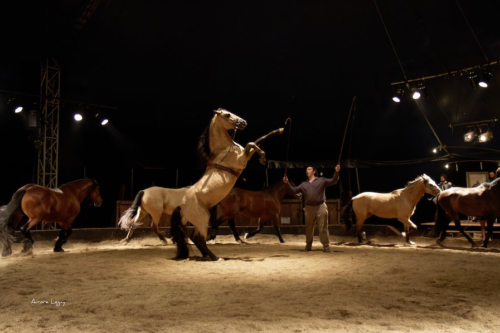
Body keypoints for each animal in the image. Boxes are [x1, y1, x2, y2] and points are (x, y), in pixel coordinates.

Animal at [170, 108, 284, 260]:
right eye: (227, 114)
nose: (243, 122)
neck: (224, 150)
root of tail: (180, 205)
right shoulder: (242, 159)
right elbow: (252, 144)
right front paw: (262, 156)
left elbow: (257, 141)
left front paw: (278, 132)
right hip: (203, 218)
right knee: (199, 238)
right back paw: (215, 257)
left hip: (197, 220)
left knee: (195, 237)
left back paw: (208, 255)